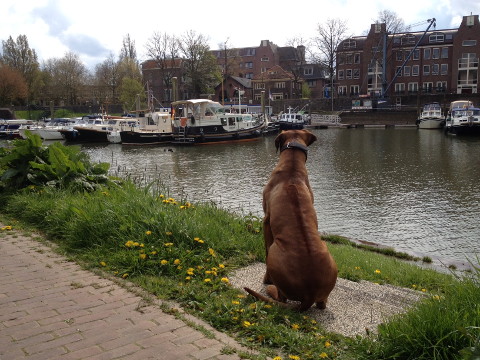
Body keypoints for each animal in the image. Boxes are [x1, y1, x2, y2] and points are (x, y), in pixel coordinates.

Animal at [244, 130, 338, 312]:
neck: (292, 168)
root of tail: (309, 295)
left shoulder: (266, 221)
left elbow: (265, 248)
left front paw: (266, 278)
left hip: (275, 252)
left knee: (282, 298)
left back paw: (271, 289)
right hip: (328, 254)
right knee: (322, 304)